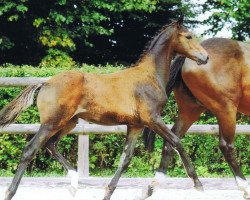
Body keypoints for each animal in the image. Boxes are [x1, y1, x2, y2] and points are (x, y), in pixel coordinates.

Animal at [1, 17, 209, 200]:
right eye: (188, 36)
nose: (205, 57)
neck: (150, 76)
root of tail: (45, 82)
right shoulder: (153, 119)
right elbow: (177, 142)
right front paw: (198, 184)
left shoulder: (136, 125)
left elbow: (126, 159)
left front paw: (108, 192)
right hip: (52, 123)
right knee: (30, 149)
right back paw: (10, 192)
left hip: (69, 122)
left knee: (50, 145)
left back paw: (74, 185)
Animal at [143, 38, 250, 199]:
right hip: (226, 109)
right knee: (226, 146)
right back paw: (245, 188)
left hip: (191, 110)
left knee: (172, 140)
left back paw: (155, 185)